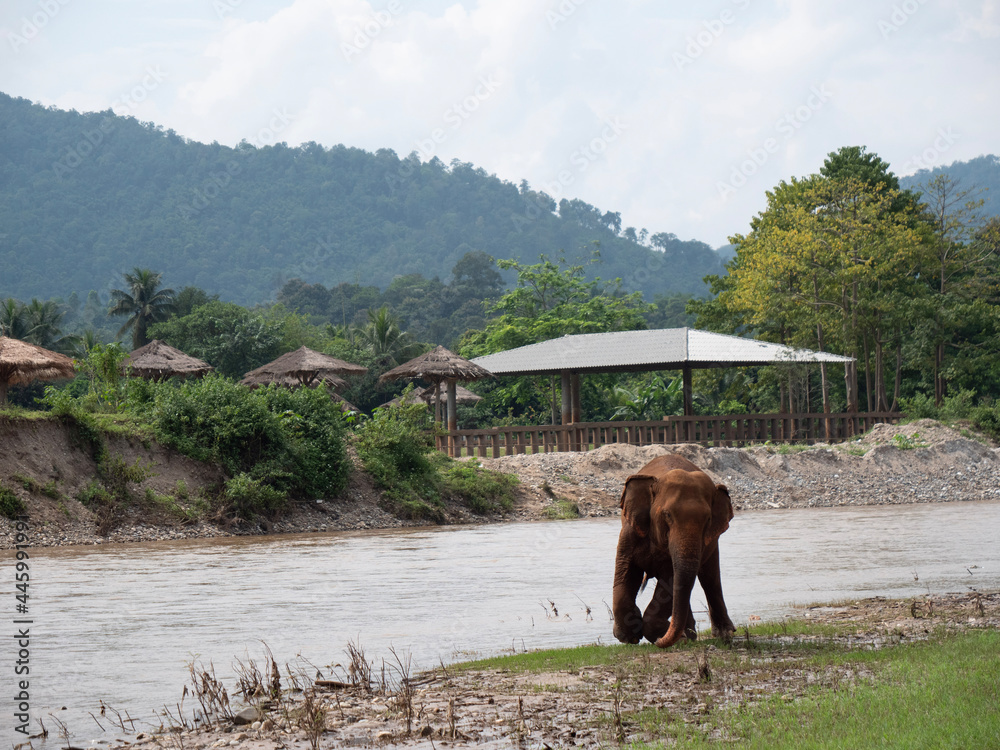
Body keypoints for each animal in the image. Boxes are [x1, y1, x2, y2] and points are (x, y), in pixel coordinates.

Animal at [608, 456, 736, 648]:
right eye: (667, 515)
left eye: (708, 519)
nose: (661, 640)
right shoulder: (630, 532)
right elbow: (627, 570)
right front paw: (630, 636)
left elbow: (670, 579)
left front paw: (663, 635)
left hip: (712, 543)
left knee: (709, 578)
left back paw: (722, 634)